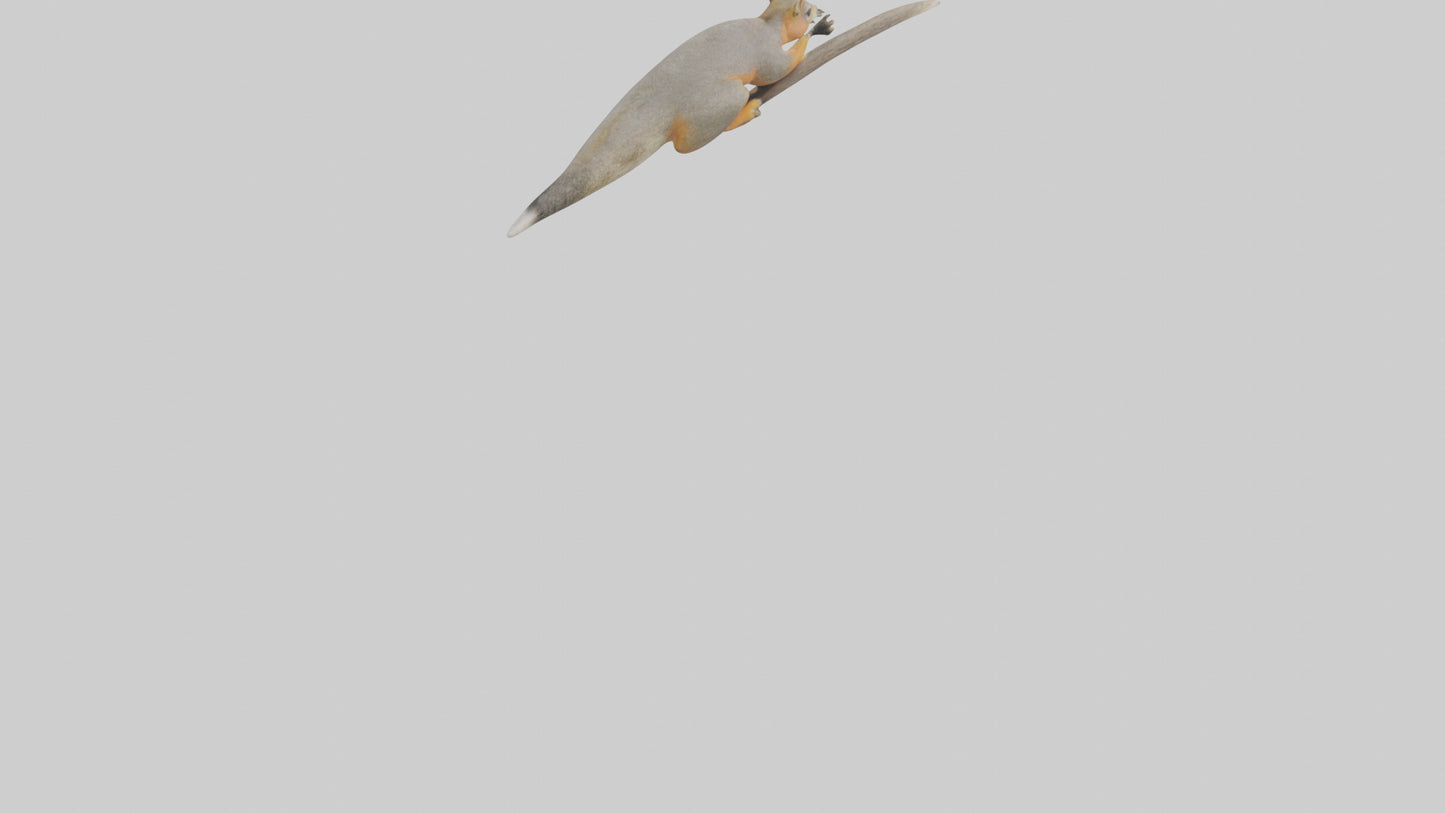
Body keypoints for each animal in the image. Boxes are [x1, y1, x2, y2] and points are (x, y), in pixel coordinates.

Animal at [507, 0, 834, 237]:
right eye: (807, 10)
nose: (819, 10)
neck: (767, 23)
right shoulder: (766, 51)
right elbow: (778, 69)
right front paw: (816, 31)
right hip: (716, 103)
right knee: (689, 141)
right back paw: (745, 110)